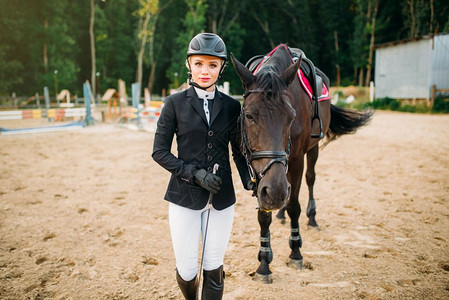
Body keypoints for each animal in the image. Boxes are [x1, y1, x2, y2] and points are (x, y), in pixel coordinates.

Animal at [231, 43, 372, 282]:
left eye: (291, 117)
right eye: (249, 116)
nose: (276, 193)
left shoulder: (295, 159)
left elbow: (294, 206)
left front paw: (295, 252)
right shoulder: (260, 174)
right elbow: (263, 215)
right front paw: (263, 263)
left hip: (312, 149)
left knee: (310, 179)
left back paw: (311, 218)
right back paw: (280, 212)